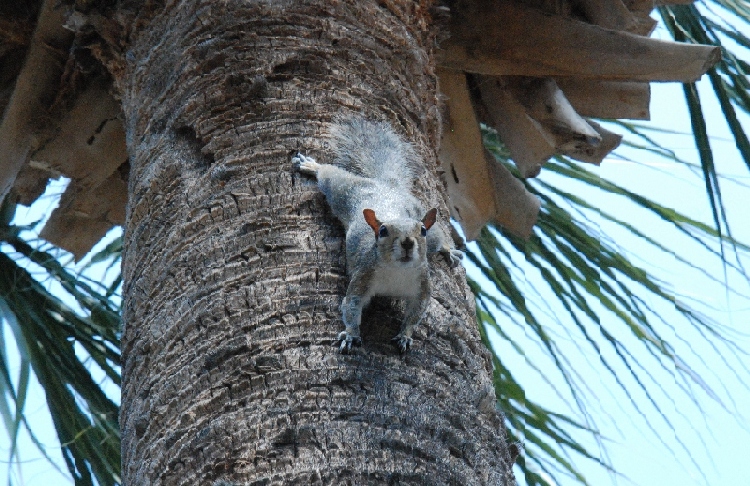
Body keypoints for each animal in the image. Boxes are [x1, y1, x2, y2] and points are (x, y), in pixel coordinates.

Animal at [294, 117, 464, 354]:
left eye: (421, 230)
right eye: (383, 231)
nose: (407, 243)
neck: (398, 270)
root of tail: (387, 185)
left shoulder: (422, 284)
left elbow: (416, 313)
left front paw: (405, 336)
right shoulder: (364, 276)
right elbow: (352, 306)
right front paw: (351, 335)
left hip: (422, 219)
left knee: (438, 237)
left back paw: (449, 250)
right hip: (344, 191)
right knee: (331, 176)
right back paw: (312, 166)